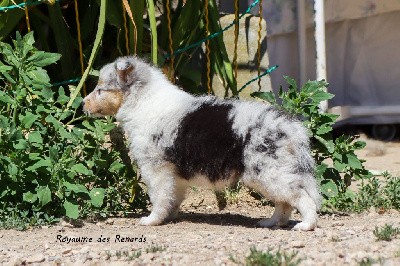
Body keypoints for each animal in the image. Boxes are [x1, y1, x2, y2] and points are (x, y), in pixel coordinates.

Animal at [82, 56, 322, 231]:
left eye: (100, 90)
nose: (82, 103)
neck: (143, 102)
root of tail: (292, 128)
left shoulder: (156, 168)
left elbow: (159, 197)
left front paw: (152, 220)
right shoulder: (174, 174)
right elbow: (173, 197)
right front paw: (169, 216)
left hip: (269, 173)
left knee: (301, 198)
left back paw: (306, 225)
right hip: (271, 174)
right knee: (284, 202)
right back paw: (272, 222)